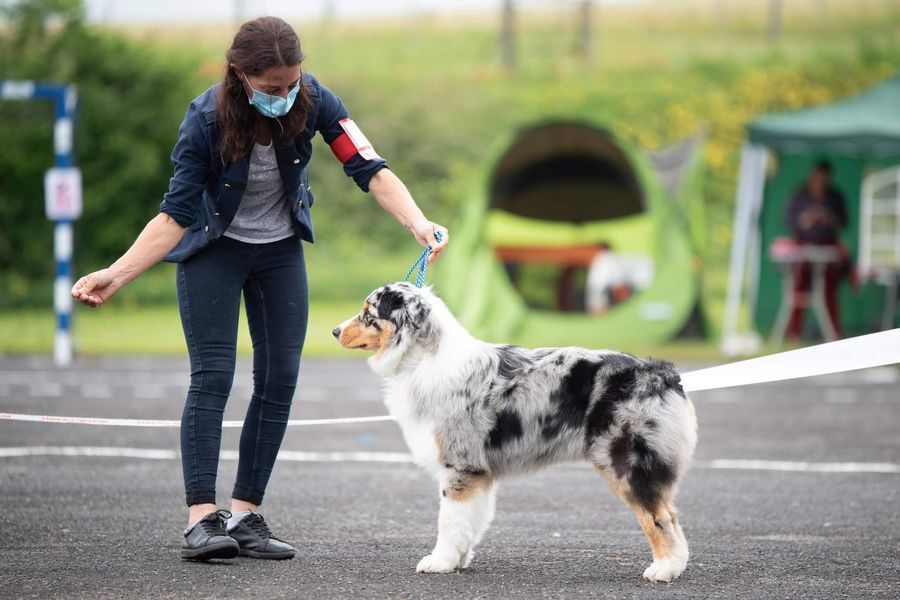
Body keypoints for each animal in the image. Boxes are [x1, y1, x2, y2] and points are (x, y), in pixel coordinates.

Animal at [334, 284, 700, 584]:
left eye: (368, 313)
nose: (335, 331)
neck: (424, 358)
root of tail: (662, 374)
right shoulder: (479, 473)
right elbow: (470, 520)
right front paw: (459, 558)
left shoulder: (459, 465)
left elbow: (449, 520)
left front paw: (439, 561)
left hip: (627, 462)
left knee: (659, 517)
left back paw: (665, 568)